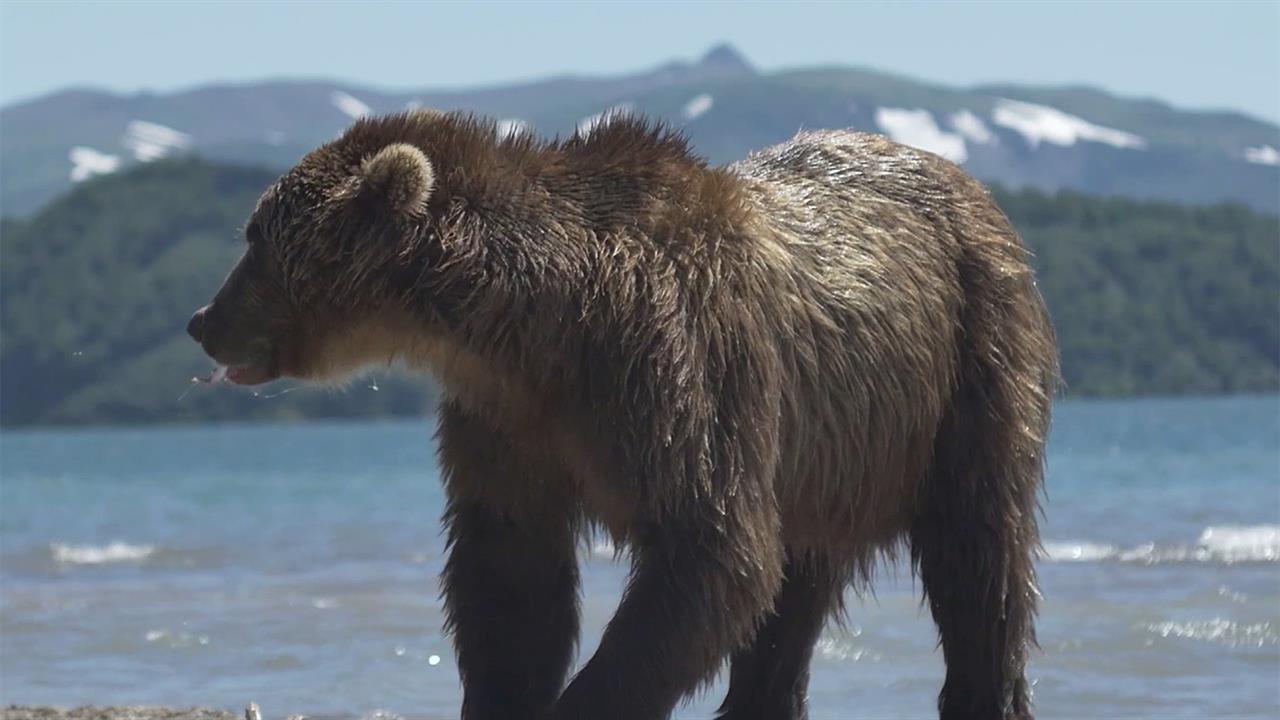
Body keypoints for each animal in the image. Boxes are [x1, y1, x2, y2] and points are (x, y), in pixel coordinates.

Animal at [185, 107, 1054, 717]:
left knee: (978, 553)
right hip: (830, 452)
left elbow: (712, 553)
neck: (533, 325)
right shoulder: (508, 423)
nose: (201, 320)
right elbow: (510, 578)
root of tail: (968, 184)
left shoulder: (677, 368)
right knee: (796, 595)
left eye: (256, 239)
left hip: (969, 363)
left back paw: (986, 688)